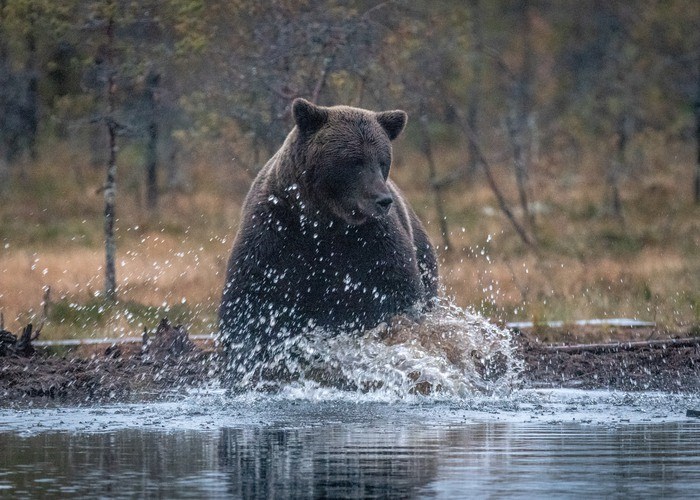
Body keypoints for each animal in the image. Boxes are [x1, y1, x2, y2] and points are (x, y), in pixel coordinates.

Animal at [219, 98, 438, 382]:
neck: (325, 221)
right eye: (355, 161)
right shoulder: (275, 230)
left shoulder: (373, 241)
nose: (383, 199)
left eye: (382, 161)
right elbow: (250, 295)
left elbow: (397, 289)